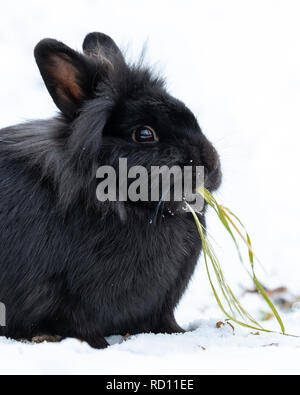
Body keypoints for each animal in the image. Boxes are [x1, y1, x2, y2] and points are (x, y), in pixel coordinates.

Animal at [0, 34, 221, 350]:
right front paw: (99, 346)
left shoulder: (161, 305)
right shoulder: (64, 297)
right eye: (144, 134)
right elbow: (78, 324)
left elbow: (164, 321)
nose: (210, 166)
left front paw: (178, 334)